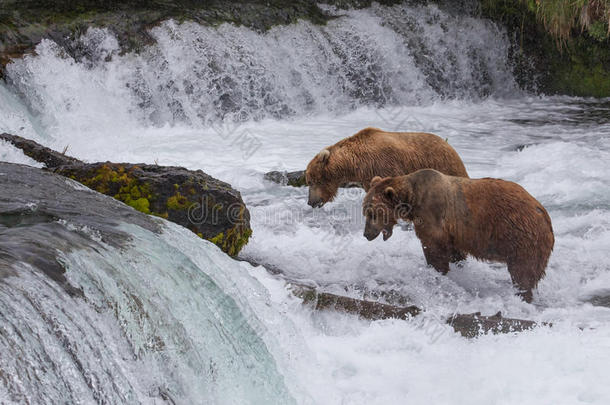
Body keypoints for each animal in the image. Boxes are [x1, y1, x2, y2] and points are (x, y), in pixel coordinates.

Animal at [304, 127, 466, 208]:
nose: (311, 202)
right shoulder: (368, 176)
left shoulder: (384, 165)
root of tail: (451, 148)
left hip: (444, 165)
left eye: (311, 181)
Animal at [358, 167, 552, 300]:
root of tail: (543, 213)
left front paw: (436, 272)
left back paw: (522, 294)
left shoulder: (432, 215)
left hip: (521, 238)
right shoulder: (453, 233)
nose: (366, 234)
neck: (412, 198)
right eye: (365, 211)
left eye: (372, 213)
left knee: (522, 272)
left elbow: (434, 248)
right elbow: (455, 253)